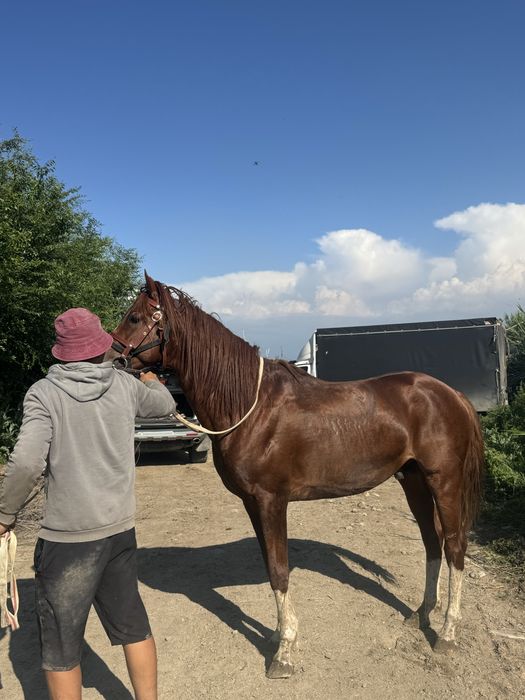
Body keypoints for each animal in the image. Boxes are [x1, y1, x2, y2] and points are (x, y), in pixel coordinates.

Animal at [110, 272, 484, 678]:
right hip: (413, 480)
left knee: (454, 548)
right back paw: (421, 614)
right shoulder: (253, 504)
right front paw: (278, 634)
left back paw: (447, 633)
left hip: (443, 481)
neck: (250, 405)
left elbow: (279, 570)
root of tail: (451, 394)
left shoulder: (272, 501)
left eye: (134, 317)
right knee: (432, 543)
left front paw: (284, 652)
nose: (110, 358)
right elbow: (271, 566)